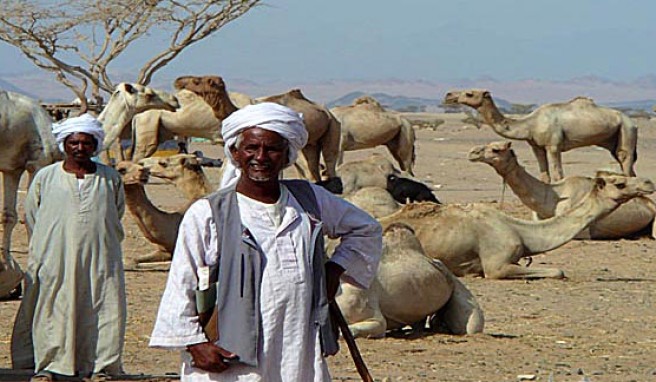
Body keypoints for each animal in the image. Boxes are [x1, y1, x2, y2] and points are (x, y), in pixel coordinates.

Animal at [444, 90, 640, 184]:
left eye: (469, 93)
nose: (448, 95)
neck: (530, 123)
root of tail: (632, 122)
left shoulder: (553, 145)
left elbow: (559, 175)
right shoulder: (536, 146)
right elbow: (544, 176)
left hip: (626, 130)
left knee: (625, 160)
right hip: (614, 139)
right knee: (627, 166)